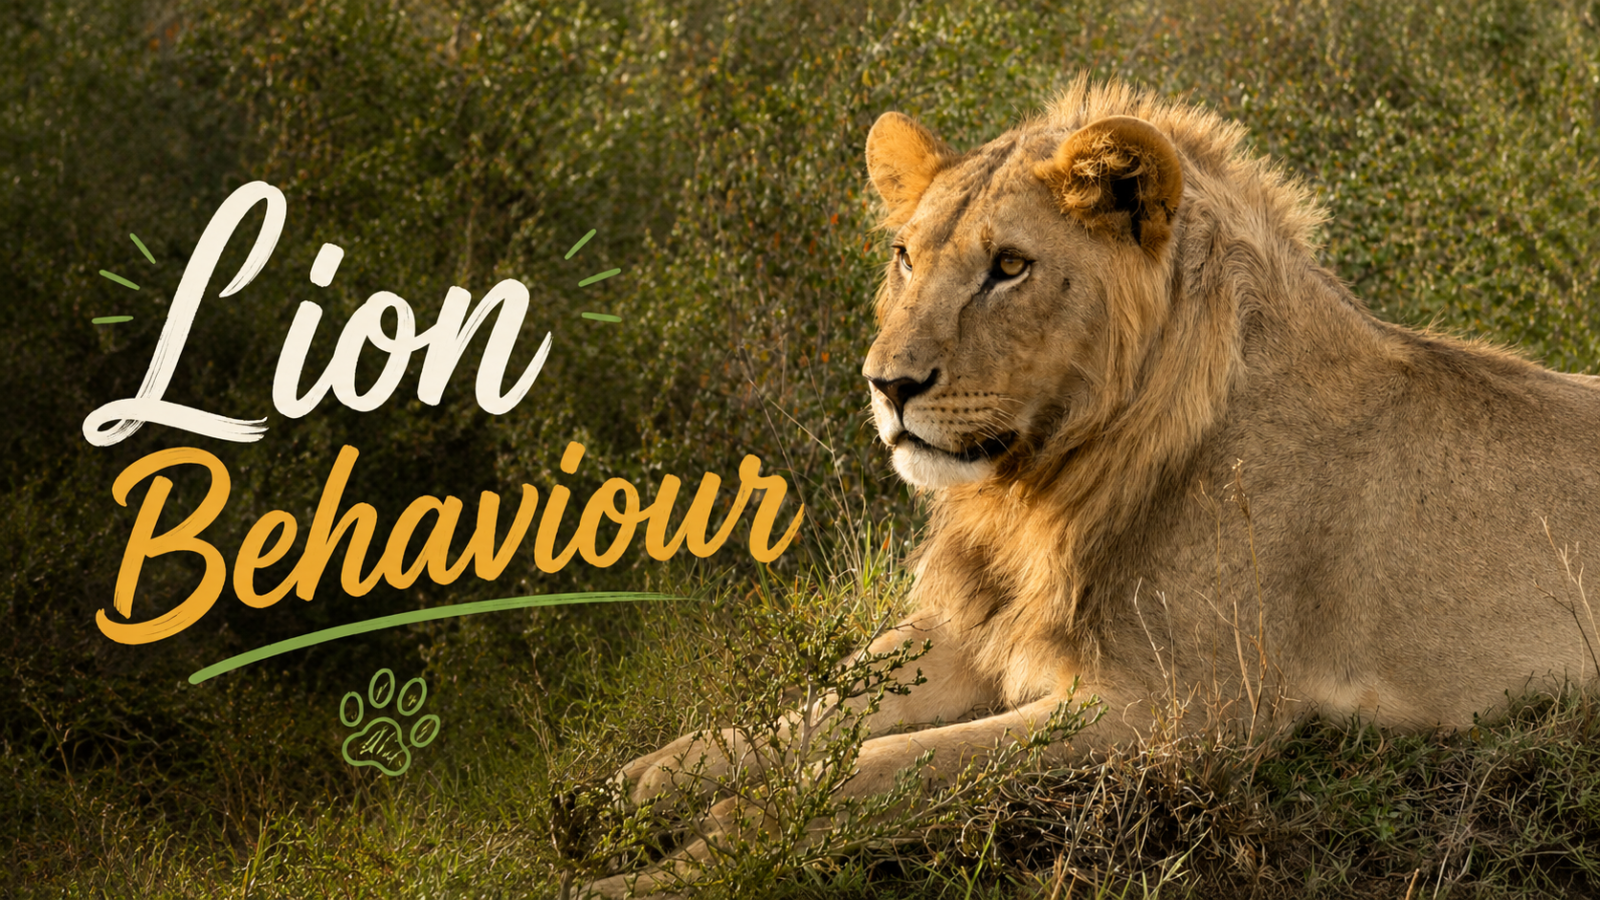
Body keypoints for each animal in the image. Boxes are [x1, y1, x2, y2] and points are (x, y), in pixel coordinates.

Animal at [584, 77, 1600, 896]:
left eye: (1009, 267)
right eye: (906, 257)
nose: (886, 385)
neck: (1034, 493)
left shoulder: (1185, 714)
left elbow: (886, 766)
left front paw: (684, 855)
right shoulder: (972, 630)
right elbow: (803, 710)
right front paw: (620, 796)